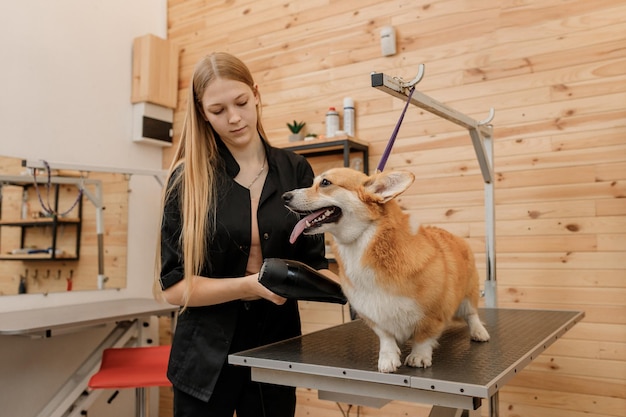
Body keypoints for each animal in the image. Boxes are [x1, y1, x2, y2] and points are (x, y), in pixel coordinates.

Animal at [282, 167, 488, 372]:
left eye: (325, 183)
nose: (285, 196)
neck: (364, 241)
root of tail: (455, 236)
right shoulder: (374, 313)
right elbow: (386, 337)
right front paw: (388, 359)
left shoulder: (433, 312)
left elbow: (423, 337)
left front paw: (419, 356)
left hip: (469, 293)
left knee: (472, 314)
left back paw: (479, 332)